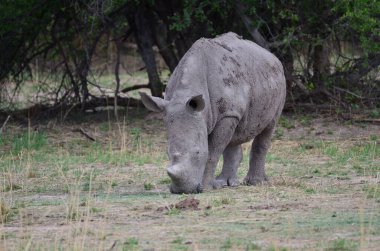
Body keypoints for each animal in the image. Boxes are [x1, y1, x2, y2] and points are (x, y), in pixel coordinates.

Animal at [140, 32, 284, 194]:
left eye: (197, 152)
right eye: (167, 152)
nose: (183, 190)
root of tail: (272, 56)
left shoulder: (226, 114)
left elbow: (212, 152)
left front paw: (205, 188)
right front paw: (211, 185)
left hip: (277, 82)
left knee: (269, 126)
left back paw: (255, 182)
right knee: (234, 135)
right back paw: (226, 183)